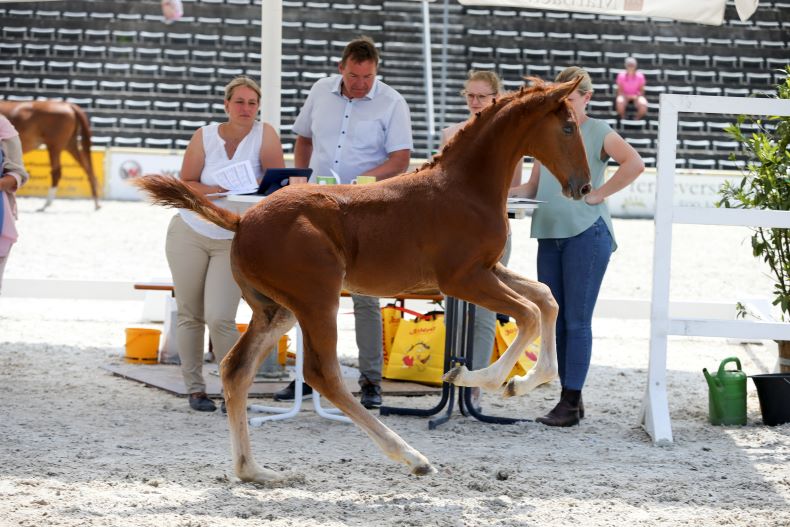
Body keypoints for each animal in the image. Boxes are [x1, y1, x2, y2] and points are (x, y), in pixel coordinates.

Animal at [138, 76, 592, 484]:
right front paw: (480, 378)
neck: (465, 189)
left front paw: (522, 382)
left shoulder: (489, 269)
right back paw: (413, 458)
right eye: (568, 127)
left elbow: (546, 298)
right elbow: (530, 313)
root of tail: (241, 219)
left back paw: (256, 471)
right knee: (322, 375)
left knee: (236, 369)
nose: (584, 186)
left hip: (277, 310)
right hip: (317, 301)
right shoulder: (462, 279)